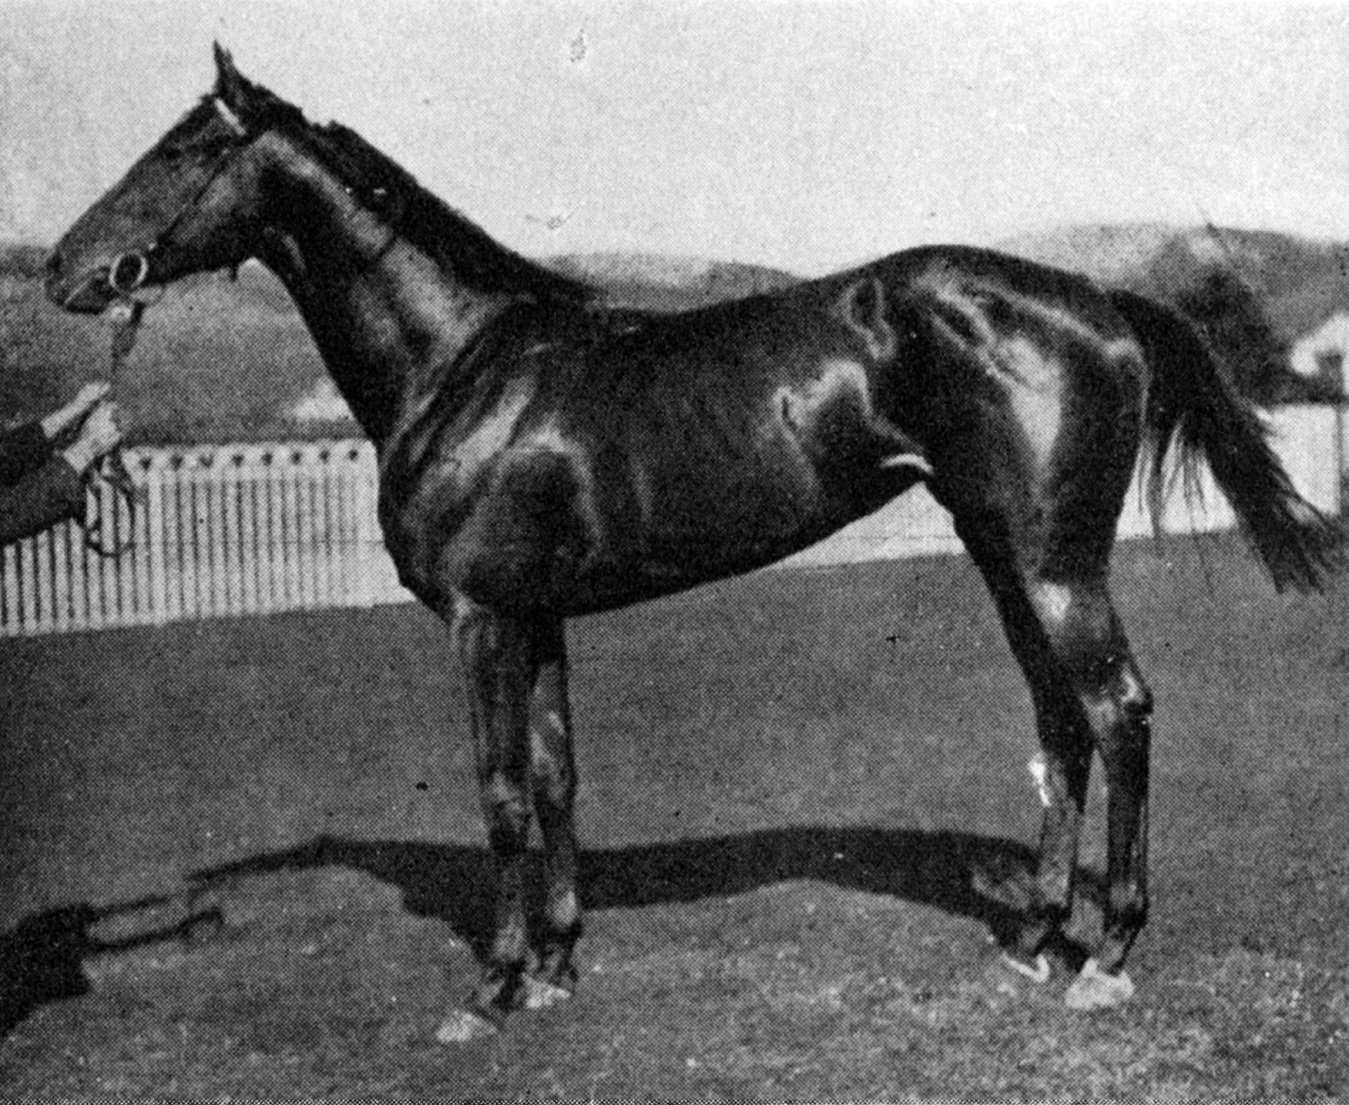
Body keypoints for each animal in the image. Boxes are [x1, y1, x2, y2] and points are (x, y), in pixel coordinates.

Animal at [42, 49, 1338, 1036]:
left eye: (178, 150)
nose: (61, 269)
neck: (462, 367)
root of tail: (1102, 305)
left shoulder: (480, 620)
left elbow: (499, 790)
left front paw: (490, 987)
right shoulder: (538, 616)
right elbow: (557, 777)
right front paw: (555, 966)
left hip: (1055, 563)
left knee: (1117, 712)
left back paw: (1106, 954)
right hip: (1000, 552)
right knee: (1059, 720)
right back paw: (1037, 935)